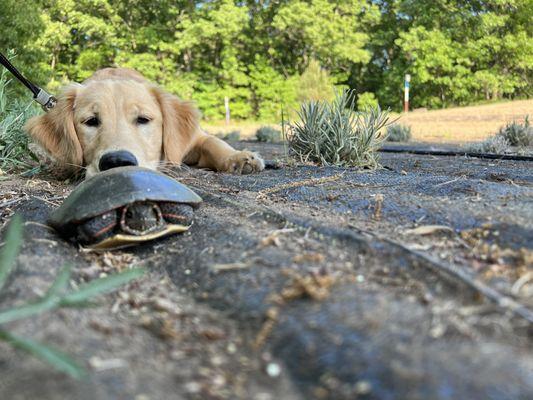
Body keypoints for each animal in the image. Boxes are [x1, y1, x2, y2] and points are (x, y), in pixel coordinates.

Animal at [24, 68, 264, 178]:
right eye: (91, 121)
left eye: (143, 119)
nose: (118, 162)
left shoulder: (195, 137)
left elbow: (214, 142)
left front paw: (238, 158)